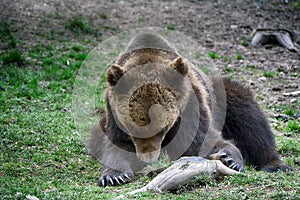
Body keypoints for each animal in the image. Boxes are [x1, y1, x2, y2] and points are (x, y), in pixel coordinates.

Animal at [88, 32, 292, 186]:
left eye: (163, 128)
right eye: (133, 129)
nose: (148, 158)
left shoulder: (191, 111)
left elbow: (203, 141)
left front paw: (229, 158)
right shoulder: (114, 119)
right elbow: (115, 146)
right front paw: (114, 175)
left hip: (223, 98)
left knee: (251, 120)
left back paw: (275, 164)